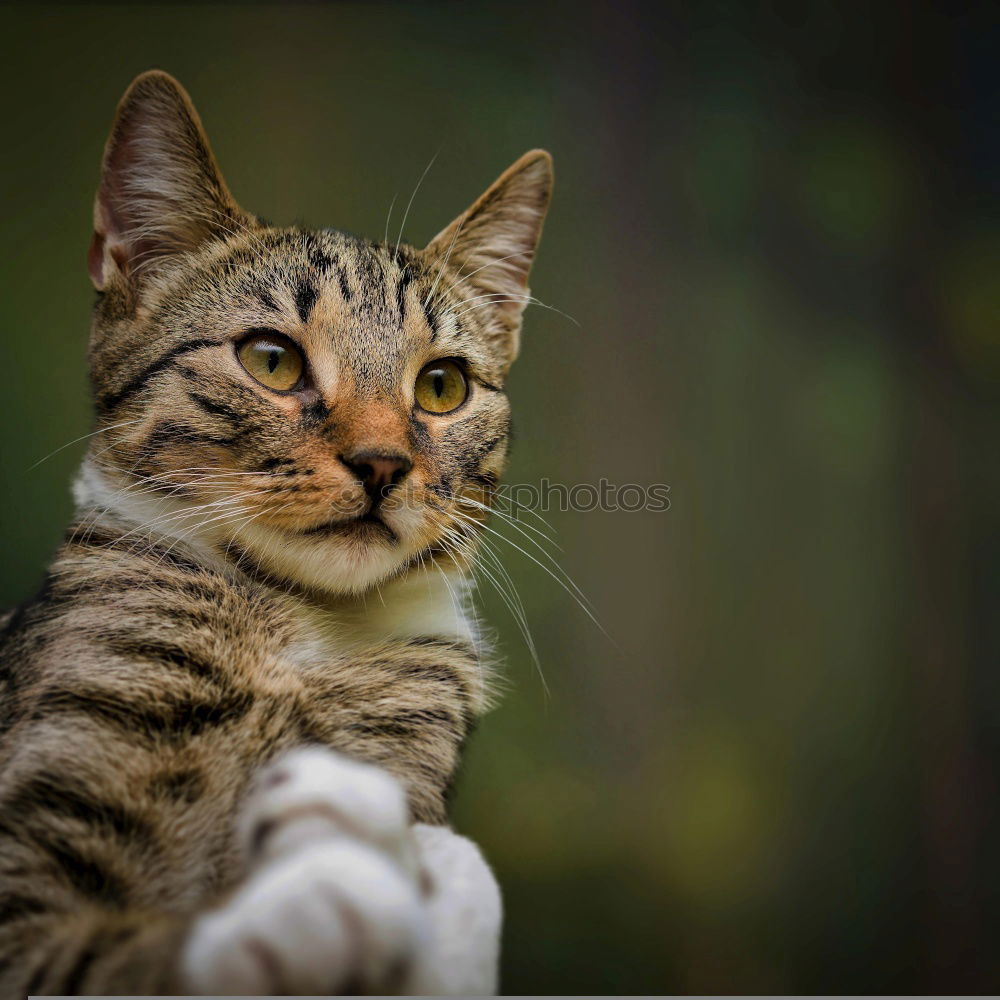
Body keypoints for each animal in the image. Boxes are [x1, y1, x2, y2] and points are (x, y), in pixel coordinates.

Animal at [0, 68, 552, 992]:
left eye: (442, 385)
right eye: (272, 360)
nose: (381, 463)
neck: (300, 632)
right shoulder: (28, 880)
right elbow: (113, 950)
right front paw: (313, 907)